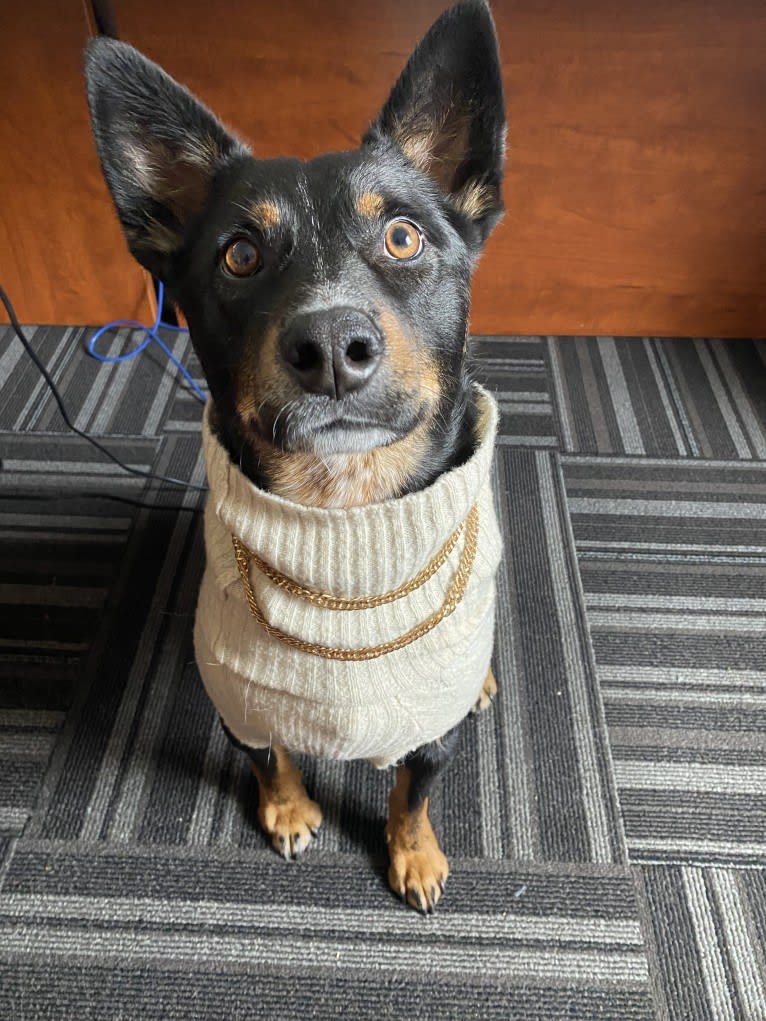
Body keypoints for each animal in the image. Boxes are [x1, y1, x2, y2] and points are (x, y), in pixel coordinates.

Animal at [83, 0, 506, 910]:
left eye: (404, 237)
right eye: (239, 254)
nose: (331, 346)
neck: (343, 515)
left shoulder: (431, 736)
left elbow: (413, 789)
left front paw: (413, 852)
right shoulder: (241, 702)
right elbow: (269, 755)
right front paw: (286, 810)